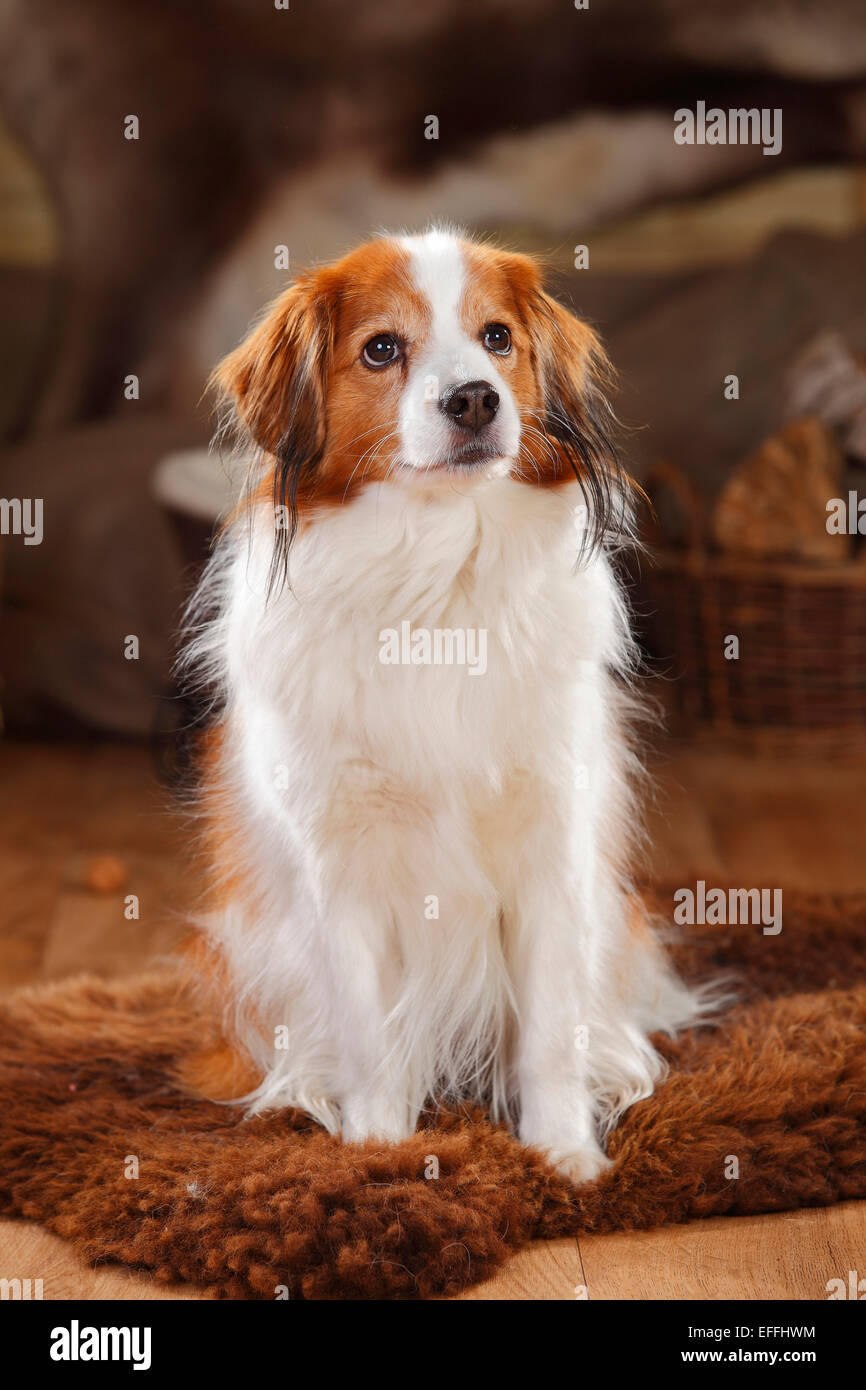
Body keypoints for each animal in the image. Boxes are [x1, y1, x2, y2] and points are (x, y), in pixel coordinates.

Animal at [180, 227, 706, 1184]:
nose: (475, 399)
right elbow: (368, 1037)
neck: (436, 578)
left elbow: (550, 1033)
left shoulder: (551, 847)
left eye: (498, 337)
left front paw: (563, 1155)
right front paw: (380, 1152)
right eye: (382, 349)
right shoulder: (341, 863)